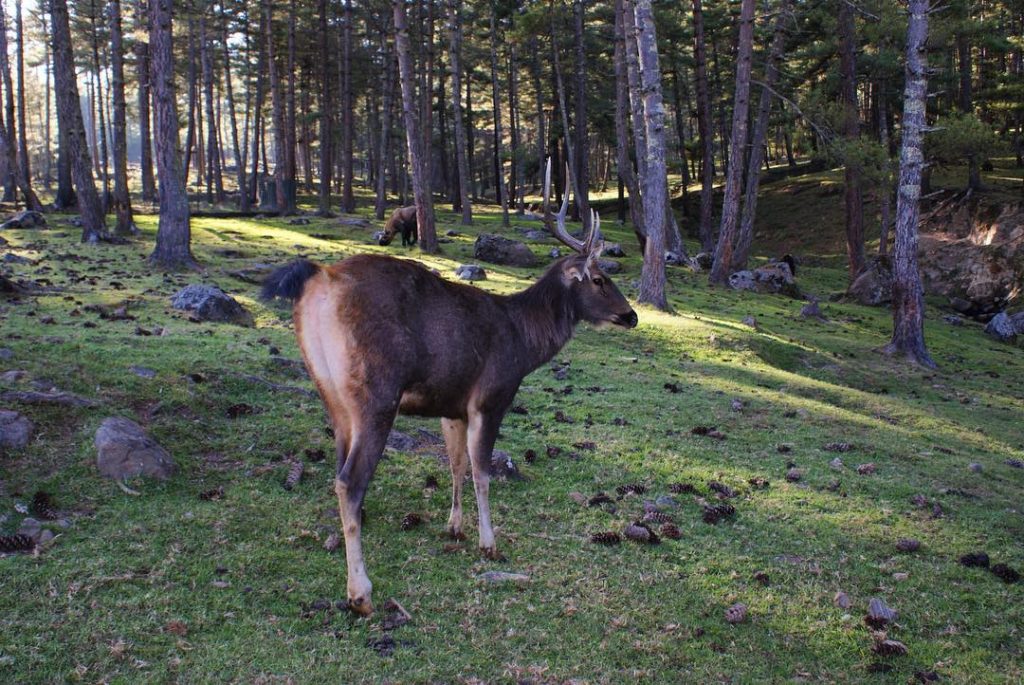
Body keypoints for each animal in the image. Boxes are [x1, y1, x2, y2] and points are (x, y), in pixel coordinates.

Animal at [260, 160, 634, 614]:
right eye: (597, 278)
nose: (631, 315)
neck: (524, 343)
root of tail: (318, 282)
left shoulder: (450, 406)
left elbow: (455, 464)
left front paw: (454, 526)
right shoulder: (491, 397)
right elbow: (482, 472)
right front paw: (489, 543)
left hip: (331, 395)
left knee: (338, 470)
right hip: (376, 393)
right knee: (350, 480)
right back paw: (360, 592)